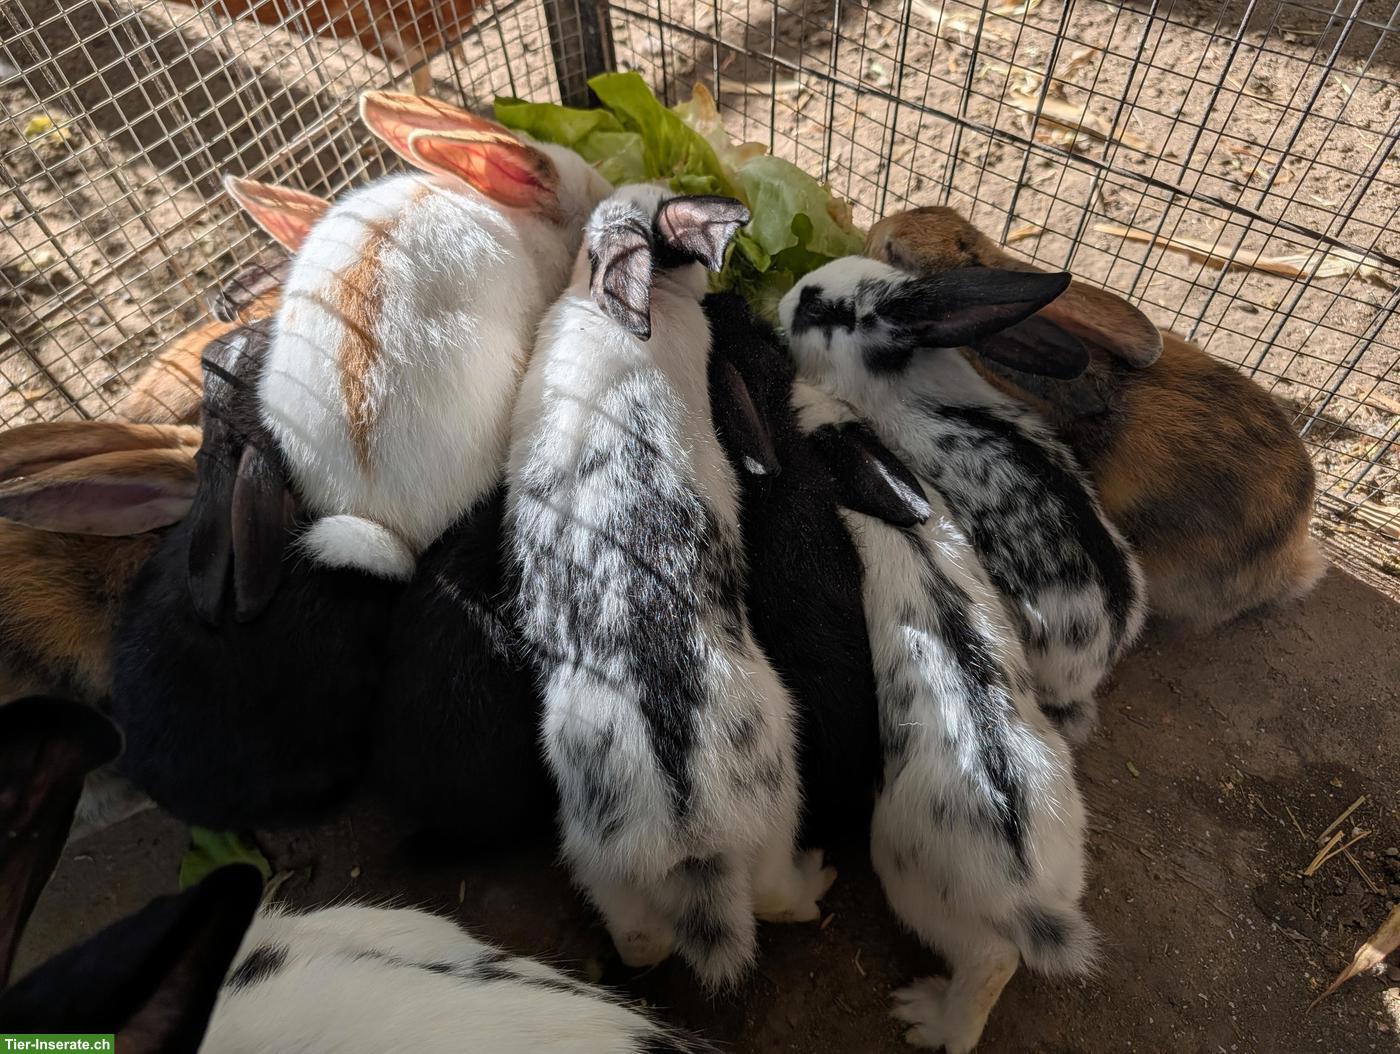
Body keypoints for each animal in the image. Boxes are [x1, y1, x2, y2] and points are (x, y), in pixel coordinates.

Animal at [507, 185, 834, 989]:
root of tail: (692, 835)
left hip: (598, 858)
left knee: (642, 942)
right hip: (778, 804)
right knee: (775, 899)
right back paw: (819, 877)